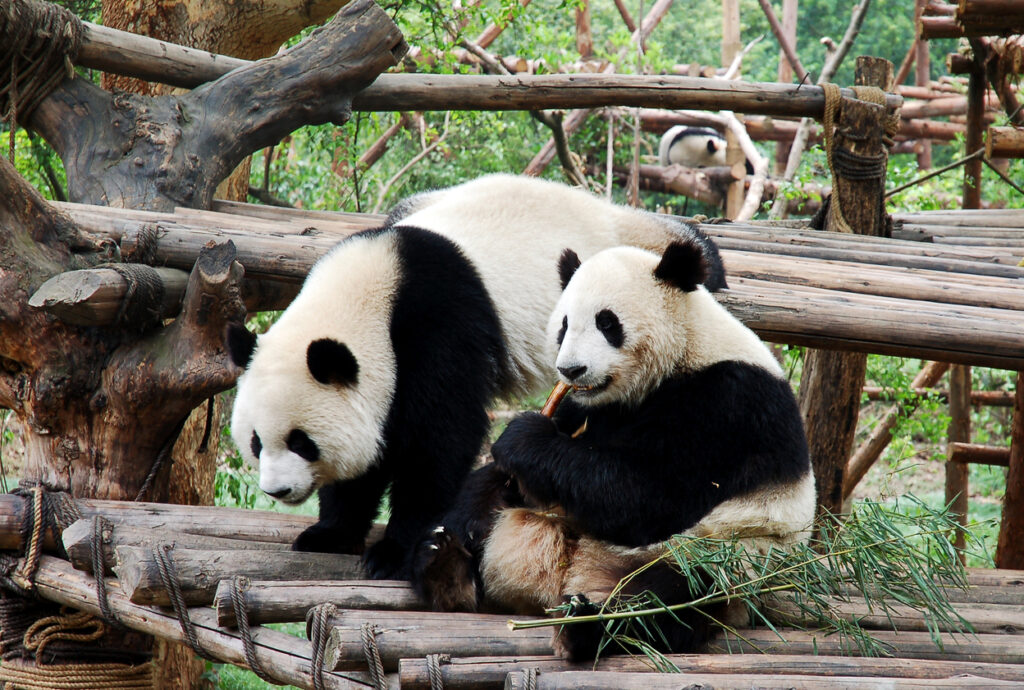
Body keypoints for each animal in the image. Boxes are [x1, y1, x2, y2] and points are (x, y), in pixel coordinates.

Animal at [226, 174, 728, 579]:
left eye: (301, 442)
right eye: (256, 442)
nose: (277, 490)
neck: (370, 293)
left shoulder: (439, 327)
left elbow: (439, 439)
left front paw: (393, 551)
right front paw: (330, 533)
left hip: (633, 253)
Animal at [412, 238, 814, 660]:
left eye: (607, 323)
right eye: (564, 325)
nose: (571, 370)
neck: (685, 350)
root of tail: (572, 574)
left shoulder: (728, 406)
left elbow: (648, 496)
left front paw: (523, 436)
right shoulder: (586, 407)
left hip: (723, 554)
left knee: (672, 594)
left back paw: (585, 625)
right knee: (484, 497)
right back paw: (444, 566)